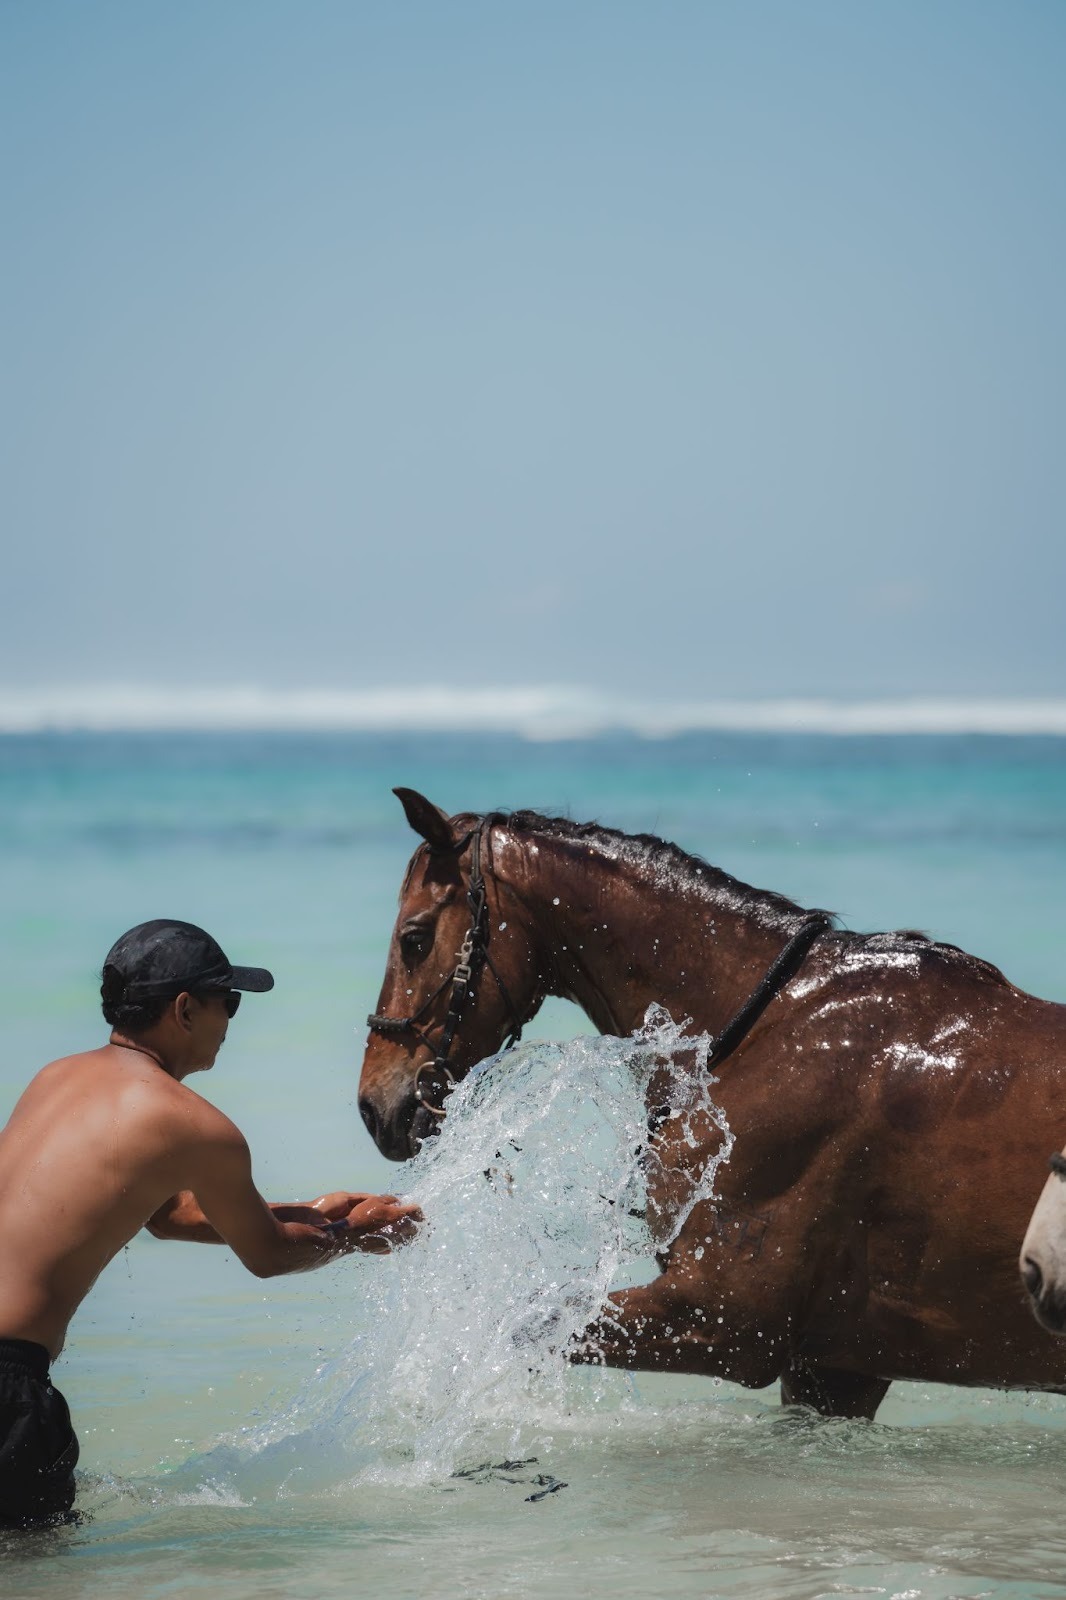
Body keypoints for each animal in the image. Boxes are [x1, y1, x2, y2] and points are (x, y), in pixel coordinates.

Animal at [358, 787, 1066, 1420]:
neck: (763, 1031)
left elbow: (529, 1330)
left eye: (415, 938)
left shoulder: (726, 1321)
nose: (372, 1106)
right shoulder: (837, 1365)